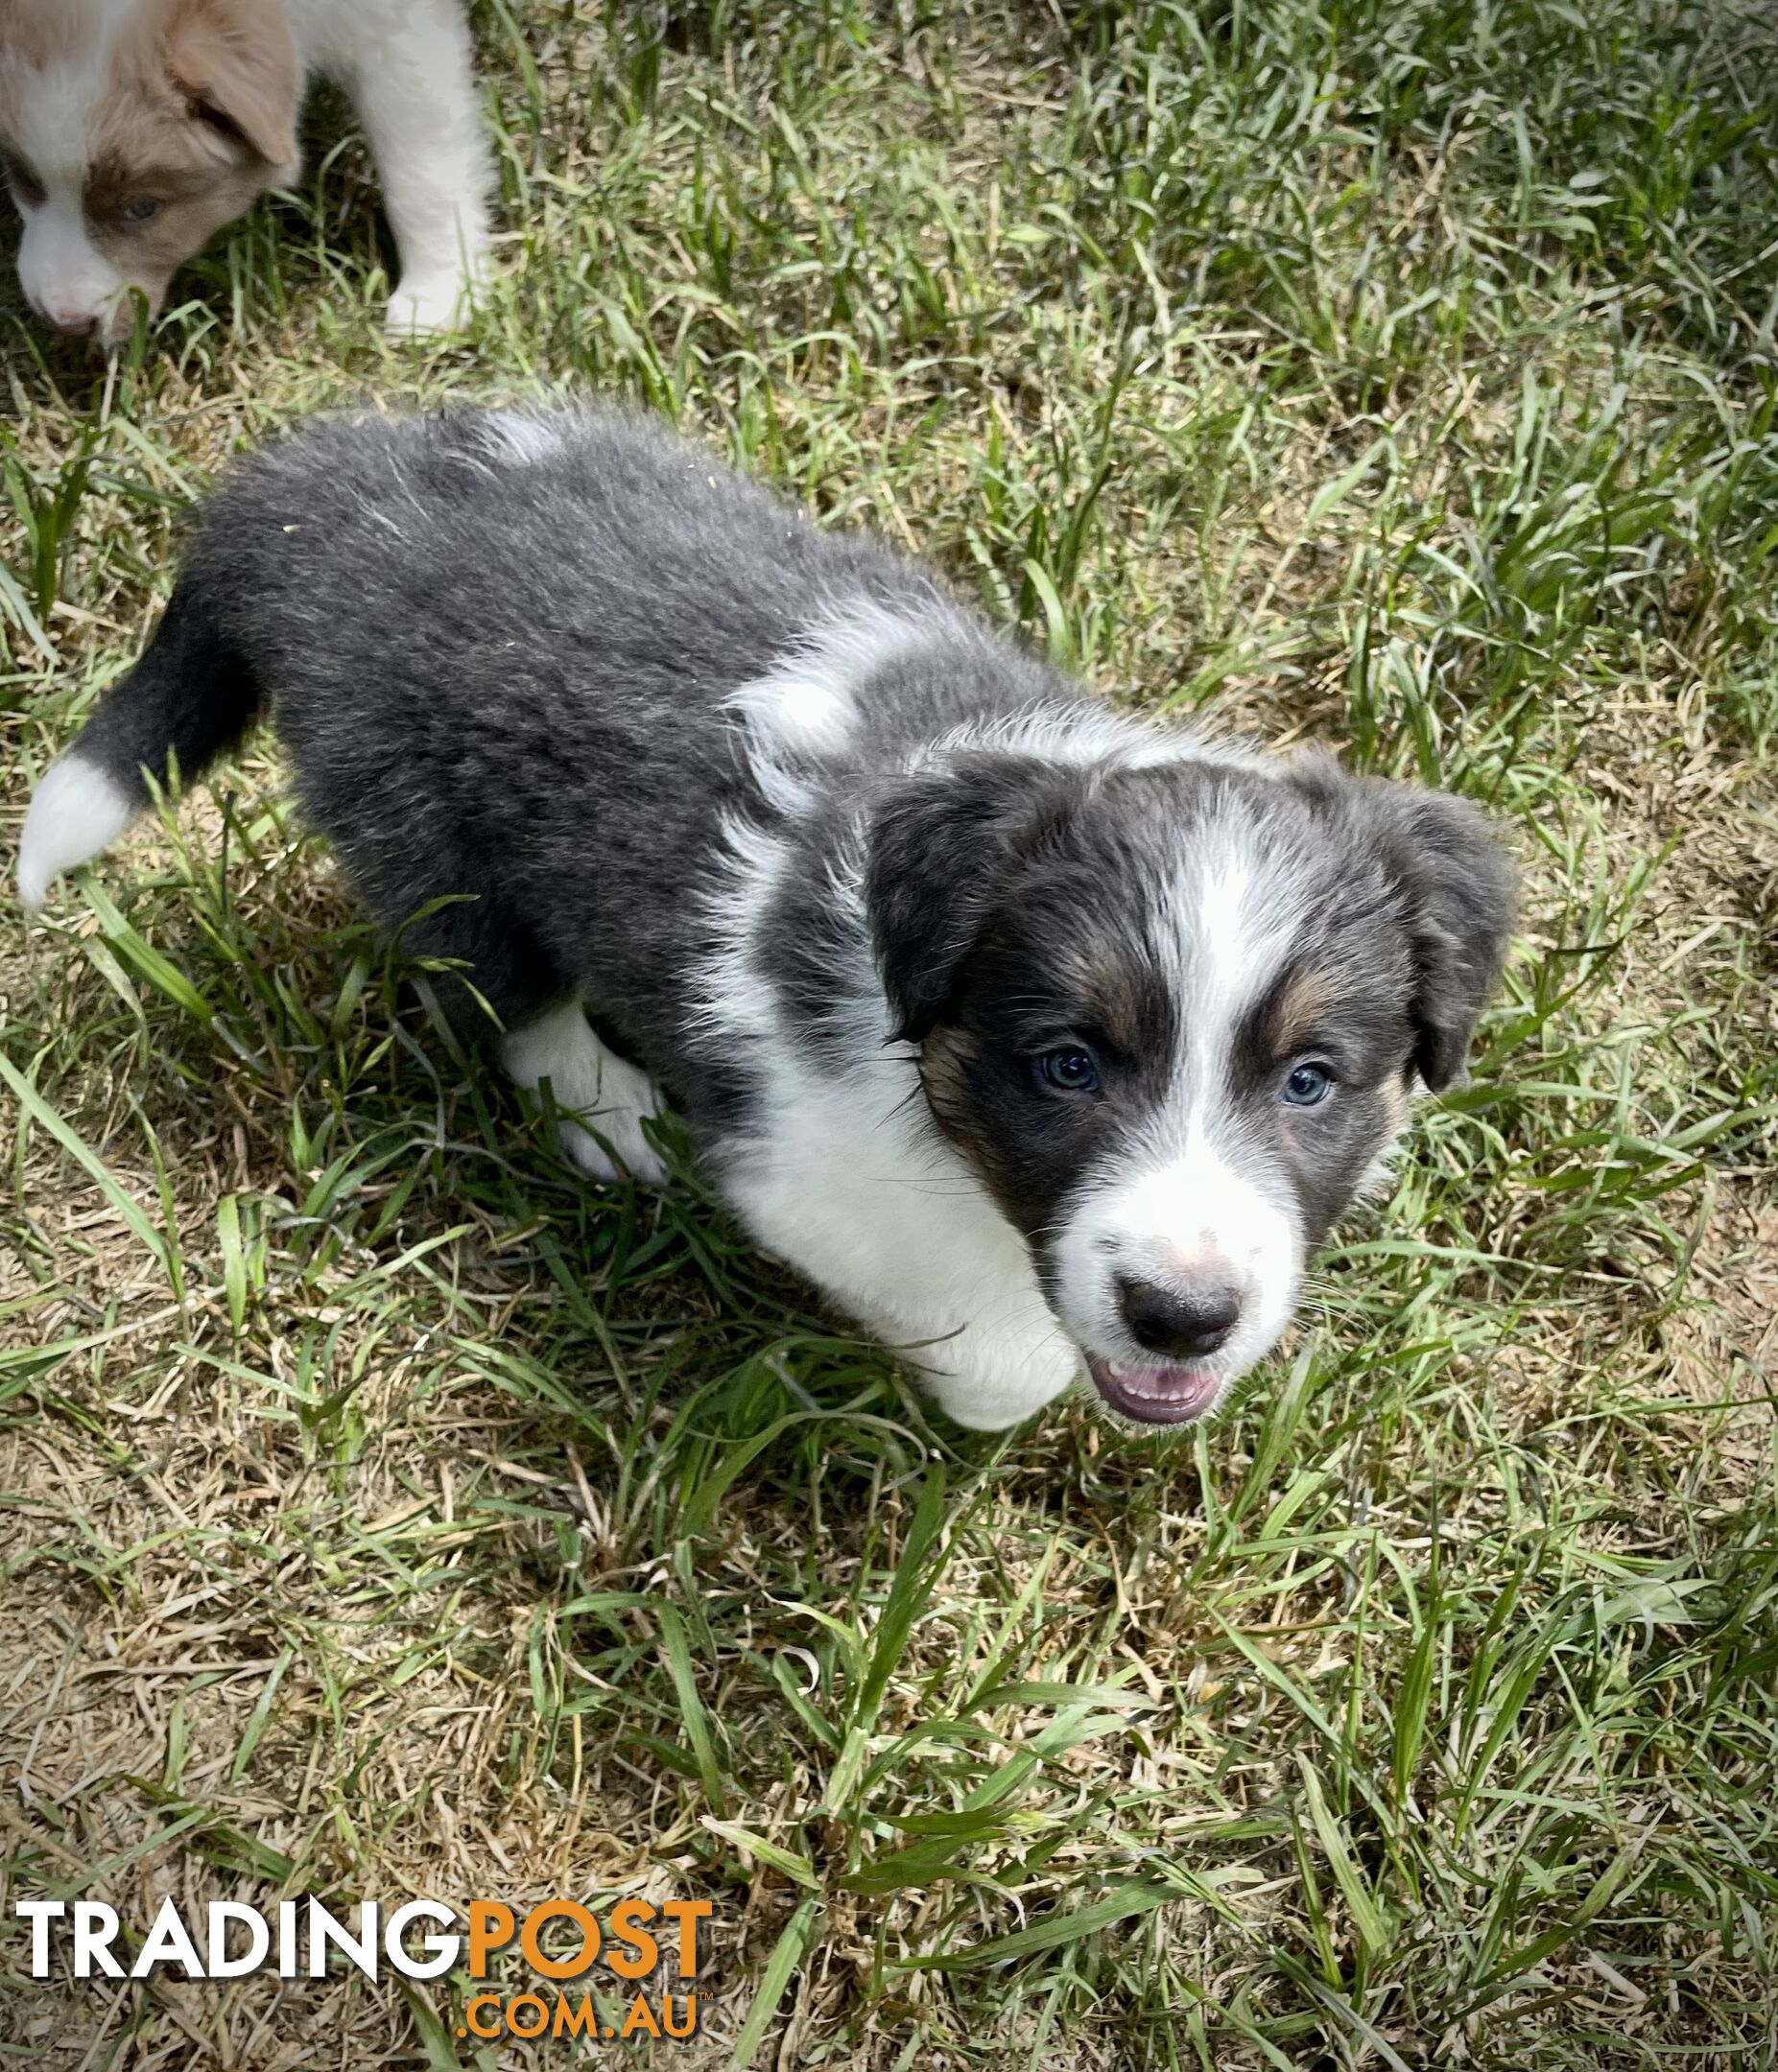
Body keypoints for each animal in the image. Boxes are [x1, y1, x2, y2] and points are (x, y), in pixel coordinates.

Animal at [0, 0, 488, 343]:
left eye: (142, 208)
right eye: (24, 179)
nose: (65, 322)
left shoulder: (396, 29)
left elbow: (421, 167)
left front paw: (439, 294)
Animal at [17, 412, 1508, 1433]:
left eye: (1310, 1082)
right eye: (1067, 1066)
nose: (1183, 1318)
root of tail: (326, 506)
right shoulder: (800, 1164)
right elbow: (977, 1340)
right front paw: (1014, 1379)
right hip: (425, 839)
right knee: (506, 995)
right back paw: (605, 1114)